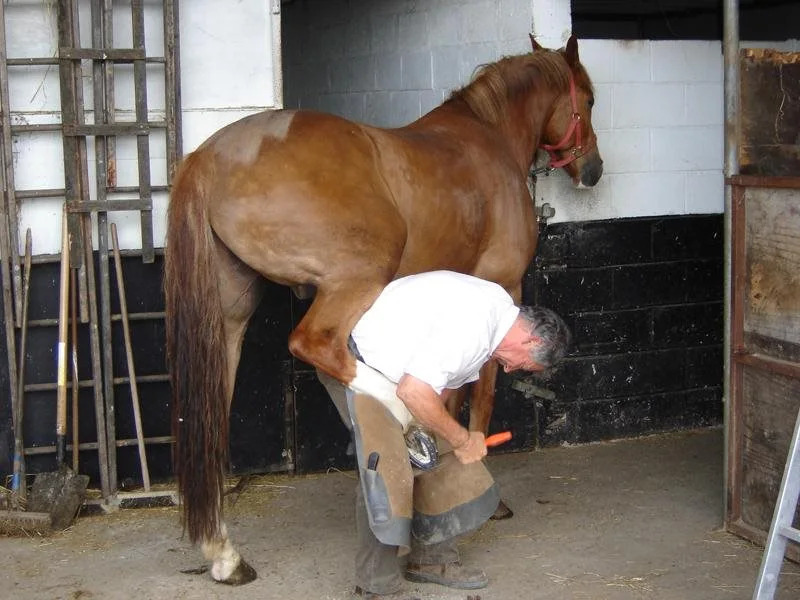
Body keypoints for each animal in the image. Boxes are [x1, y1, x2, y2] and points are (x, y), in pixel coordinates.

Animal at [164, 34, 603, 585]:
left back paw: (222, 551)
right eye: (589, 100)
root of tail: (209, 156)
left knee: (212, 419)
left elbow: (453, 396)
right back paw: (401, 416)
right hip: (358, 277)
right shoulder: (502, 287)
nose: (593, 171)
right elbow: (480, 394)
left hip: (227, 320)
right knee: (317, 344)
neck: (489, 138)